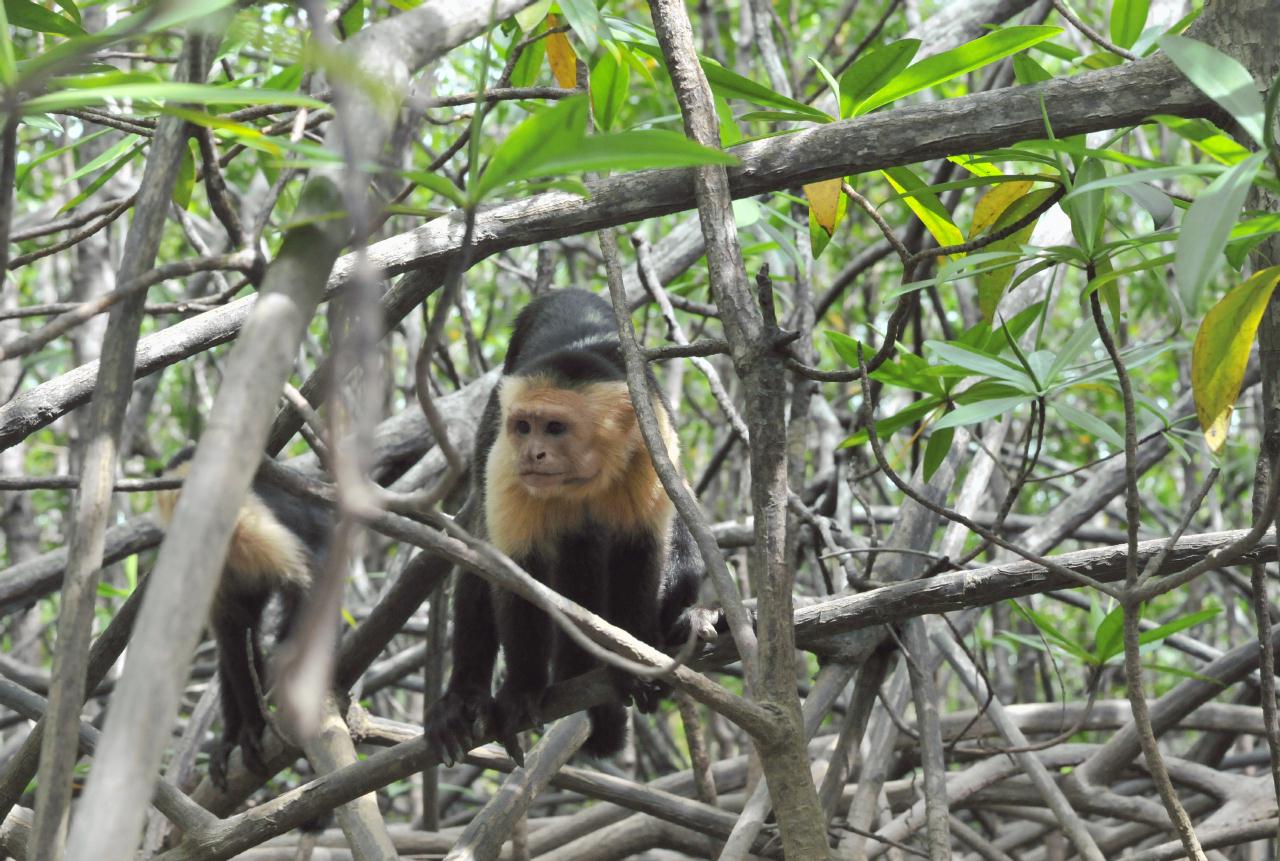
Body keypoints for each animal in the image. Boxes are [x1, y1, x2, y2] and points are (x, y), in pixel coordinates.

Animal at [154, 452, 330, 788]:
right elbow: (233, 636)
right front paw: (248, 729)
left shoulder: (253, 524)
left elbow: (308, 589)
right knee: (233, 646)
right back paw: (231, 738)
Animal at [427, 290, 711, 767]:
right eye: (525, 427)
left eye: (556, 428)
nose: (533, 453)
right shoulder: (504, 460)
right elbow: (514, 573)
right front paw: (521, 690)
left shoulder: (648, 443)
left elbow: (641, 551)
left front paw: (634, 657)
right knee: (482, 558)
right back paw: (464, 700)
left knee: (681, 536)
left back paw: (683, 621)